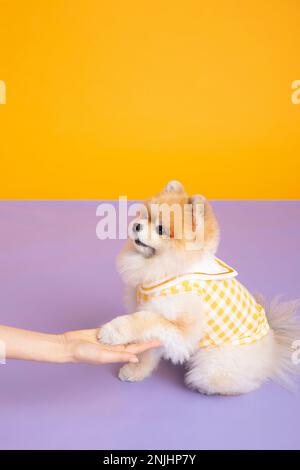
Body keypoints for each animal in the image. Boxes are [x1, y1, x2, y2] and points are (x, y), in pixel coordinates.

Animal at [99, 182, 300, 394]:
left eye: (161, 229)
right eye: (145, 216)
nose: (136, 225)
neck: (165, 267)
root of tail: (272, 346)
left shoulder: (178, 327)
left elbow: (142, 321)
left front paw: (113, 331)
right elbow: (148, 351)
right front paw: (136, 370)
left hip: (213, 364)